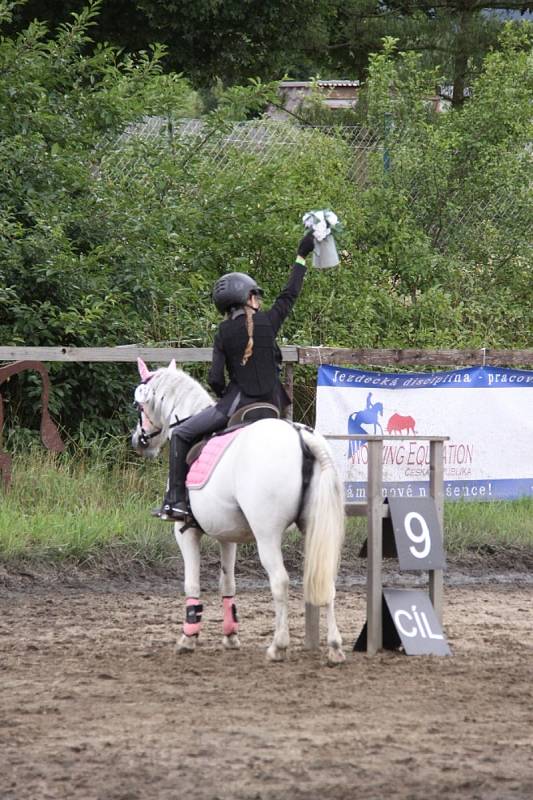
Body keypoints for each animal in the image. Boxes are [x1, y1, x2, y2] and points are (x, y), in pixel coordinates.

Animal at [131, 360, 342, 664]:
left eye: (139, 406)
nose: (138, 440)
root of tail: (301, 435)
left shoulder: (185, 531)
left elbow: (191, 584)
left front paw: (188, 637)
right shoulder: (226, 535)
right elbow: (227, 583)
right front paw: (230, 635)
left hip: (267, 535)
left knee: (280, 582)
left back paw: (278, 646)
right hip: (316, 529)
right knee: (327, 582)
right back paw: (335, 647)